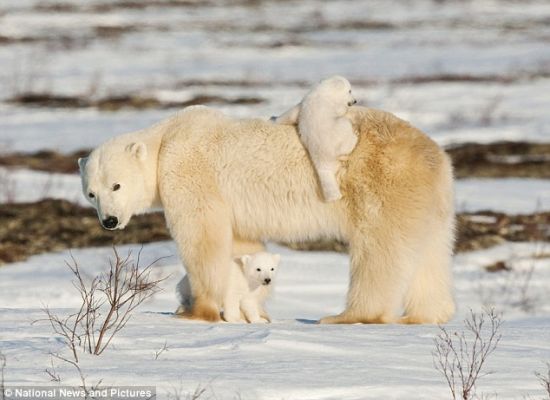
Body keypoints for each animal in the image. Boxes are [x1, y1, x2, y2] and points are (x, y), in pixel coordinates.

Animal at [78, 104, 458, 324]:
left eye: (117, 185)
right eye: (91, 193)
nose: (109, 221)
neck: (166, 139)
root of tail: (435, 155)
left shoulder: (189, 172)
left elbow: (203, 237)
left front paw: (194, 311)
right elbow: (241, 245)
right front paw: (253, 308)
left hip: (381, 182)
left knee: (379, 252)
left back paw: (348, 316)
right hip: (429, 199)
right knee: (430, 253)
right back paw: (425, 315)